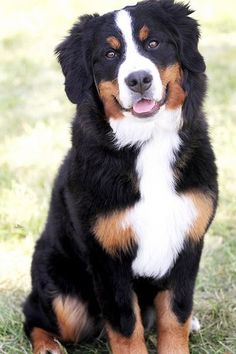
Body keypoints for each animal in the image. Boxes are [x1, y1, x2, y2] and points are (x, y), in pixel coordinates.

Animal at [23, 0, 218, 354]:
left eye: (153, 43)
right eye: (110, 54)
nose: (139, 79)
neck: (147, 142)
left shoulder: (188, 242)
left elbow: (175, 316)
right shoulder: (107, 257)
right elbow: (127, 327)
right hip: (64, 297)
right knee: (33, 314)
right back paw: (48, 346)